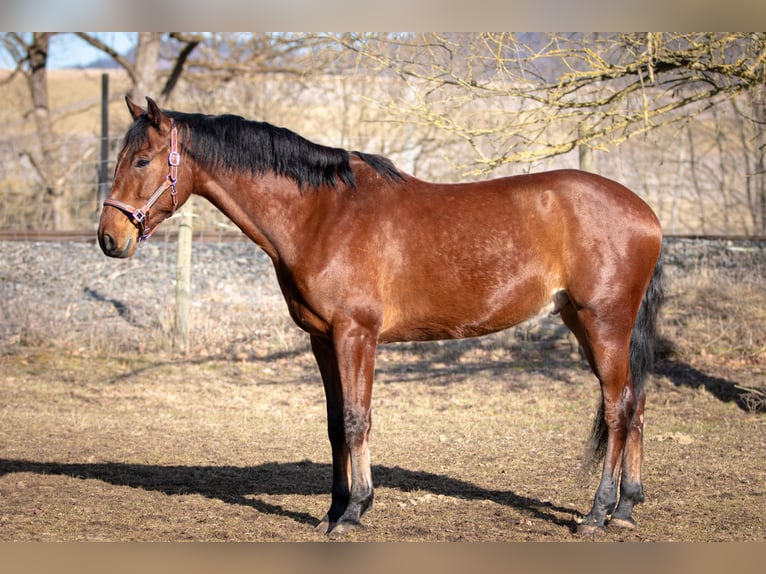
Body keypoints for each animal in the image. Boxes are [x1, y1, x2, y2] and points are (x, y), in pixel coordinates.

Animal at [99, 97, 664, 544]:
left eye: (143, 159)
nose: (109, 238)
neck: (322, 213)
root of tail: (646, 213)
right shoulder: (322, 340)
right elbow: (334, 425)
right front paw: (331, 511)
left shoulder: (357, 335)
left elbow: (356, 419)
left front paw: (355, 510)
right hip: (587, 325)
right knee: (635, 404)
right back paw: (627, 507)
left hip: (604, 325)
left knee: (617, 409)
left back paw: (597, 513)